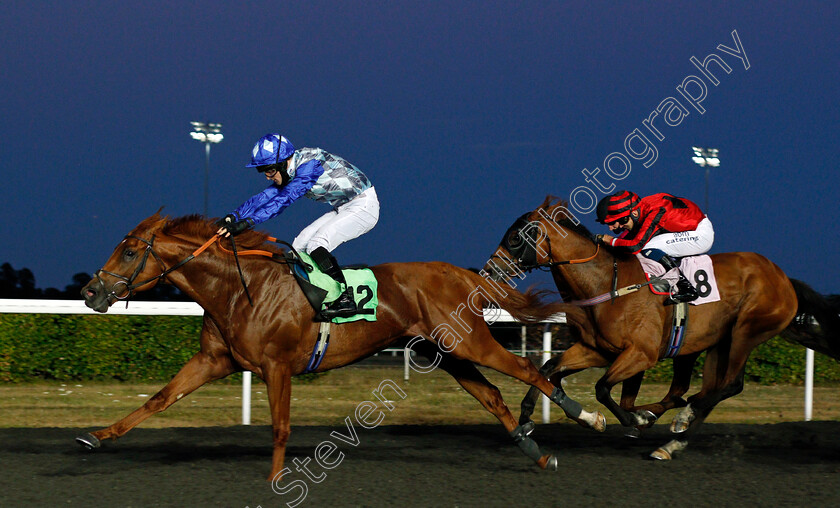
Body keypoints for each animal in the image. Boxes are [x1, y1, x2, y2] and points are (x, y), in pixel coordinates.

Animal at [74, 212, 596, 478]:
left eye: (128, 250)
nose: (91, 292)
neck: (238, 288)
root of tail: (461, 274)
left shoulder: (277, 366)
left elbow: (280, 427)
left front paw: (275, 479)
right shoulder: (214, 360)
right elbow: (160, 399)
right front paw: (95, 437)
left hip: (471, 344)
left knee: (528, 372)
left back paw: (588, 416)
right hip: (444, 353)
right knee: (491, 396)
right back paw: (537, 452)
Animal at [486, 196, 840, 458]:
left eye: (516, 237)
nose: (490, 271)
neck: (607, 283)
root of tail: (784, 279)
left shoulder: (641, 354)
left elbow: (602, 389)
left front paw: (630, 421)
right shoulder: (596, 349)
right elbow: (549, 369)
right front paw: (529, 418)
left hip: (747, 332)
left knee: (729, 386)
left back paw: (676, 419)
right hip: (715, 343)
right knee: (702, 390)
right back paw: (670, 438)